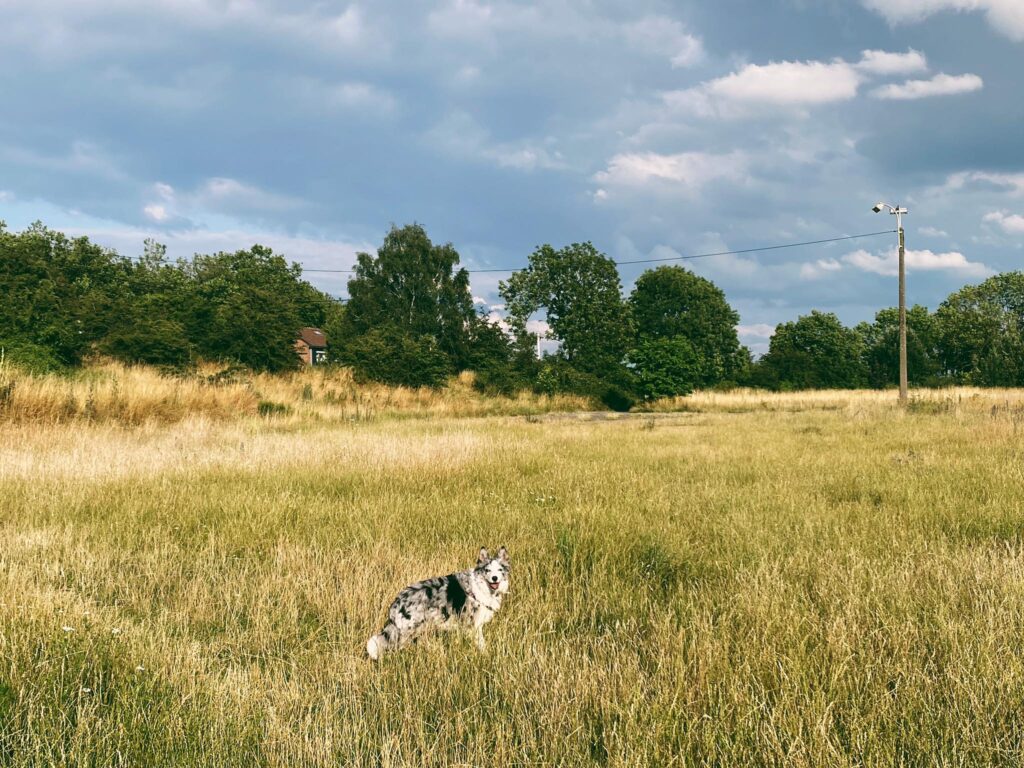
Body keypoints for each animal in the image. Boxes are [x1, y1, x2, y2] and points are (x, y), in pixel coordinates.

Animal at [368, 548, 512, 663]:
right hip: (406, 631)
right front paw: (485, 655)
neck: (482, 587)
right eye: (487, 570)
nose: (494, 578)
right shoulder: (473, 625)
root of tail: (397, 602)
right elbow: (481, 644)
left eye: (500, 570)